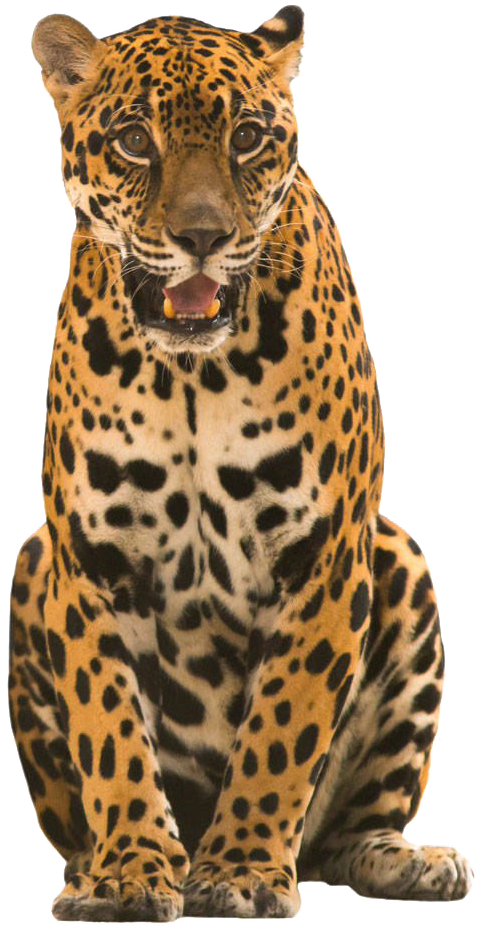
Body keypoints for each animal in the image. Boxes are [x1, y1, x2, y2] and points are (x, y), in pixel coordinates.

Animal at [9, 7, 474, 921]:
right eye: (133, 140)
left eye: (249, 138)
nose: (201, 237)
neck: (192, 374)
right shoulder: (88, 557)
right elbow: (109, 726)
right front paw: (128, 871)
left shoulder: (321, 554)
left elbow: (282, 726)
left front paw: (240, 867)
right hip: (32, 565)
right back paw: (89, 872)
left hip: (398, 560)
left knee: (341, 829)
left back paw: (407, 861)